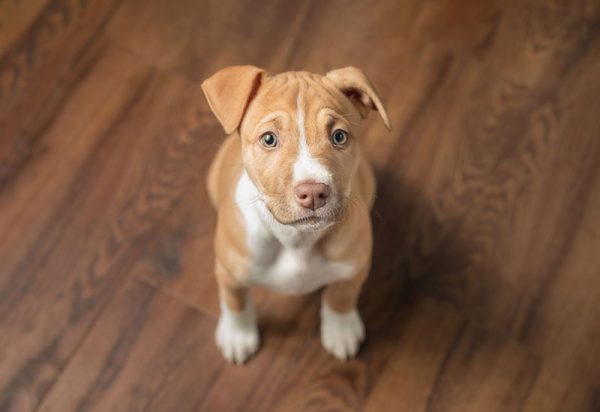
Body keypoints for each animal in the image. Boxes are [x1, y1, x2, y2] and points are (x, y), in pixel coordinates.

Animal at [200, 65, 390, 364]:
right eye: (269, 139)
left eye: (339, 137)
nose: (313, 192)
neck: (296, 239)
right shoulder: (229, 271)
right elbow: (235, 302)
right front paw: (237, 336)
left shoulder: (354, 267)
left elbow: (340, 298)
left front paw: (341, 331)